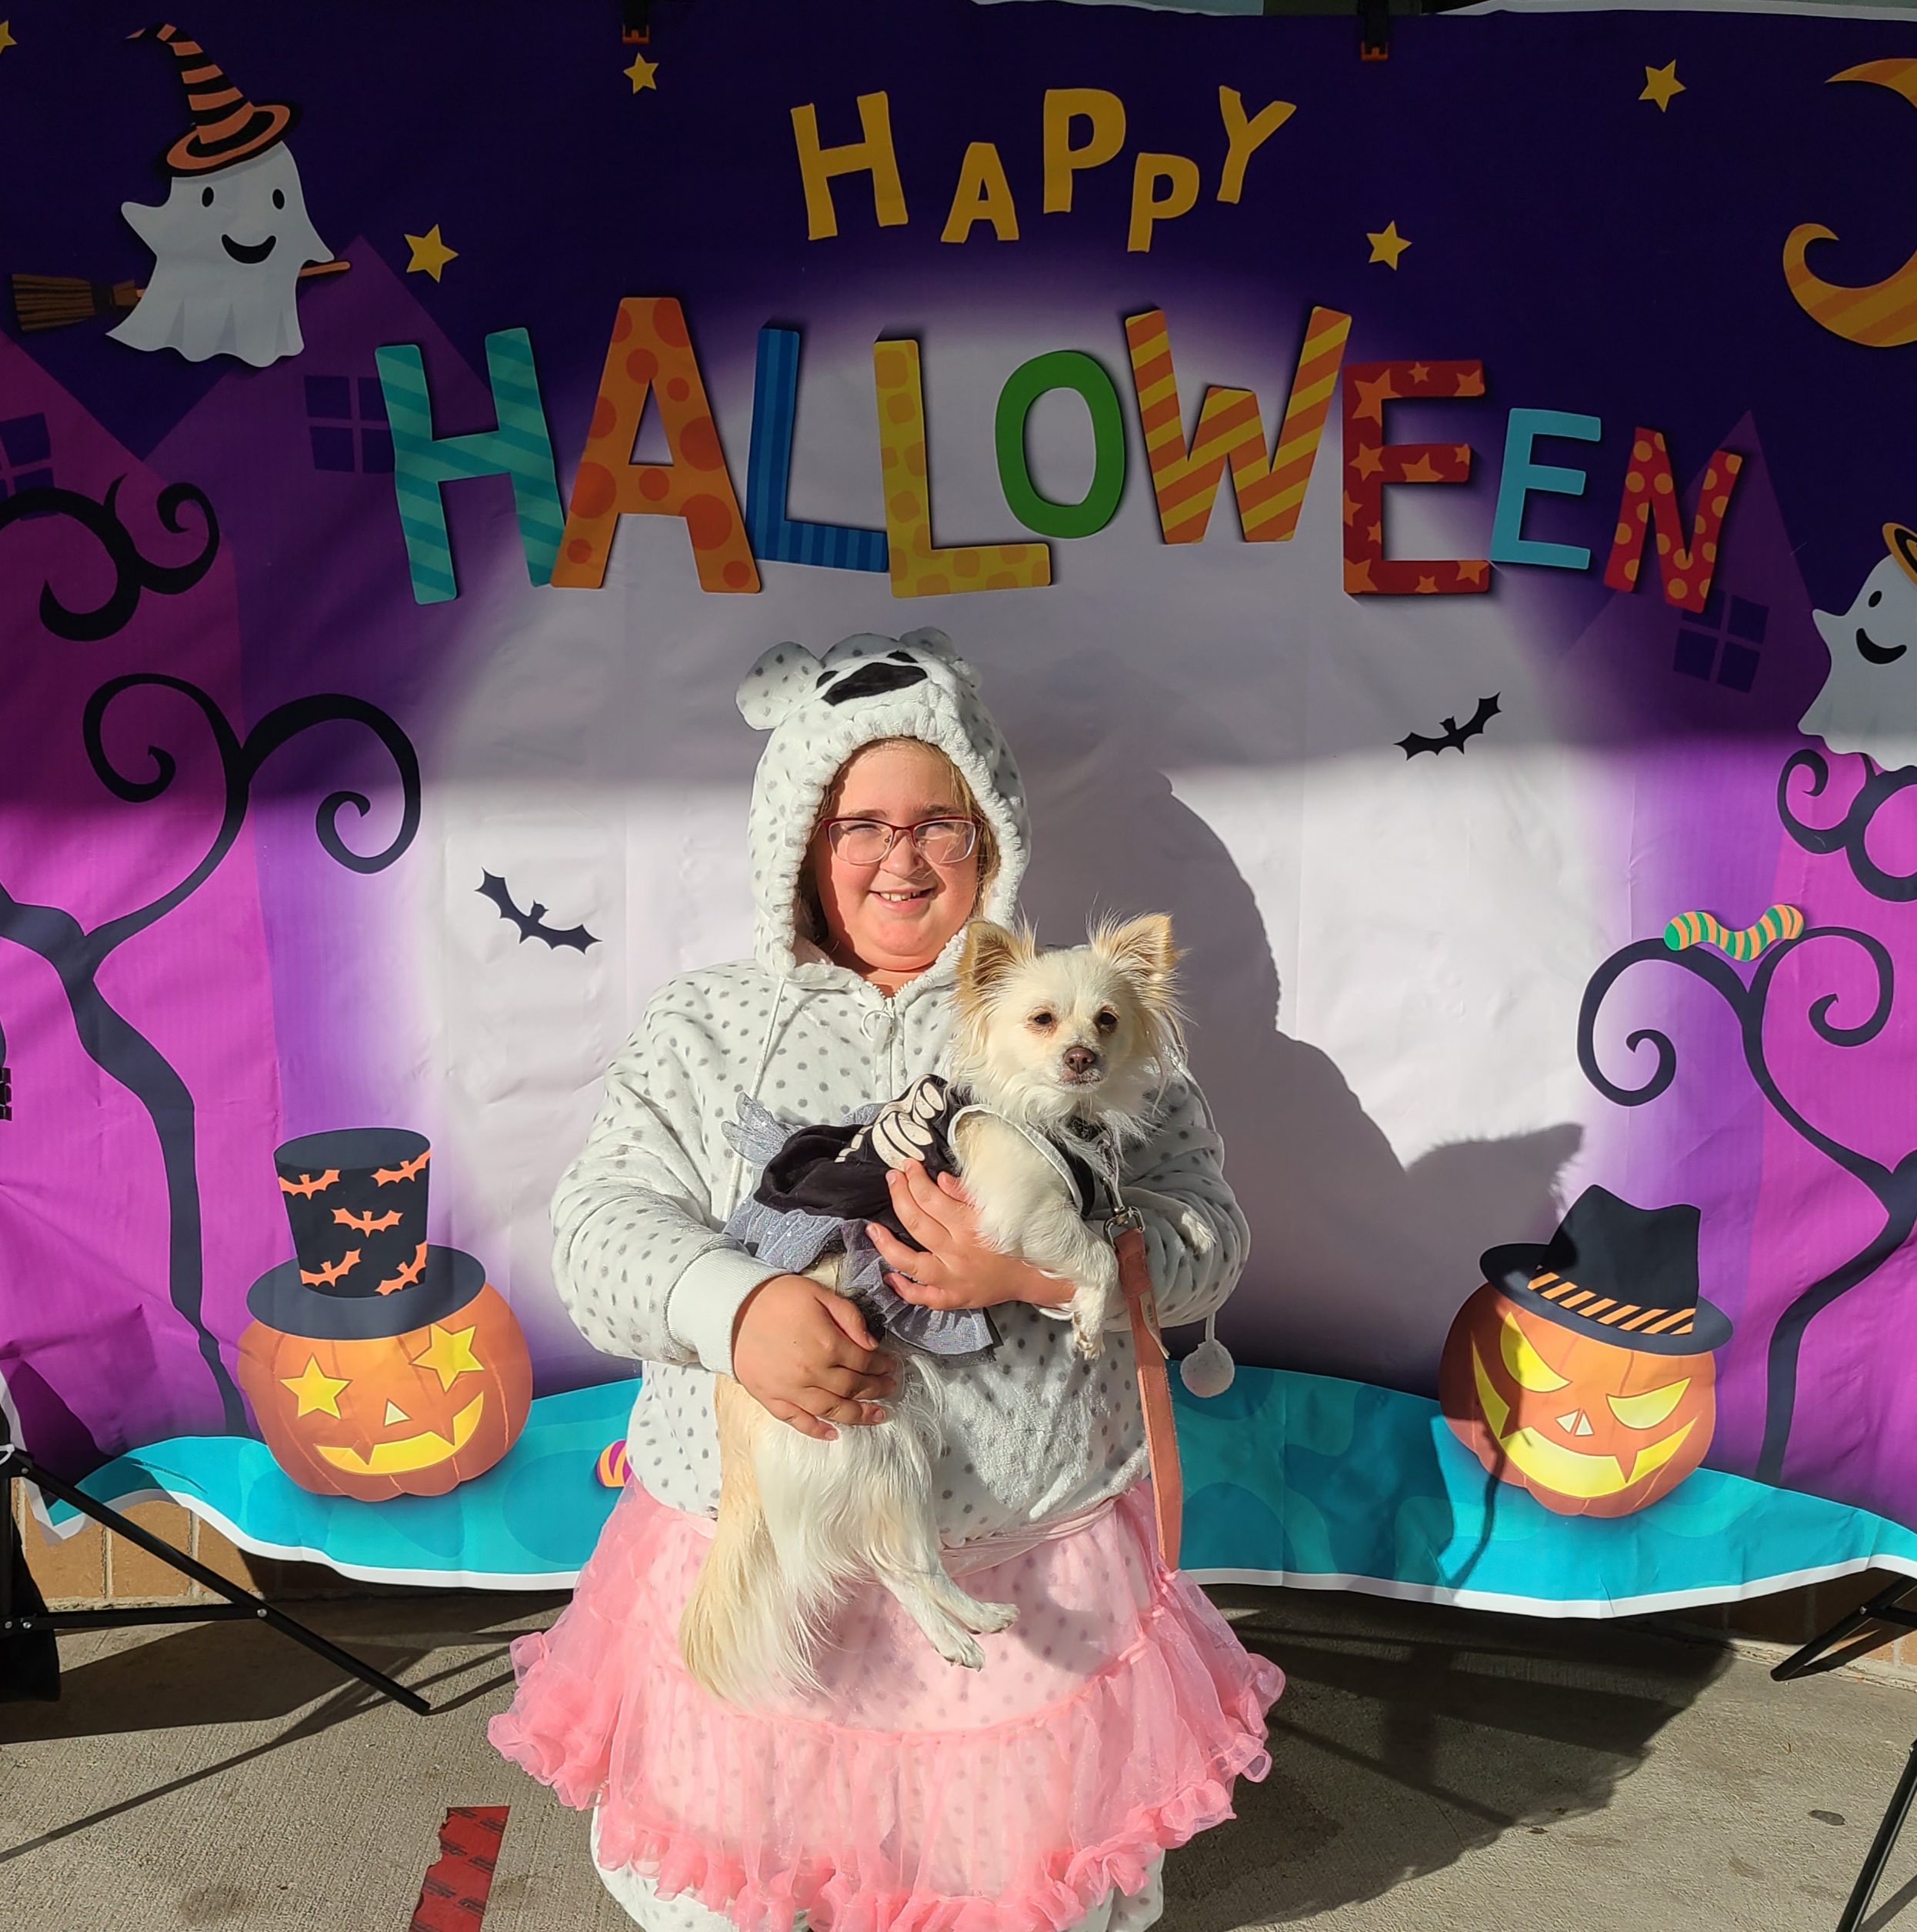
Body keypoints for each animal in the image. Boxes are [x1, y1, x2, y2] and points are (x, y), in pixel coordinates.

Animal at [677, 913, 1185, 1710]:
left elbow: (1108, 1234)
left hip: (899, 1452)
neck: (1054, 1117)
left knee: (911, 1561)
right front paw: (1091, 1313)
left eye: (1108, 1020)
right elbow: (1099, 1253)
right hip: (870, 1454)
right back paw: (952, 1637)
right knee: (891, 1562)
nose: (1082, 1057)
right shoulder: (1023, 1209)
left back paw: (973, 1619)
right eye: (1042, 1020)